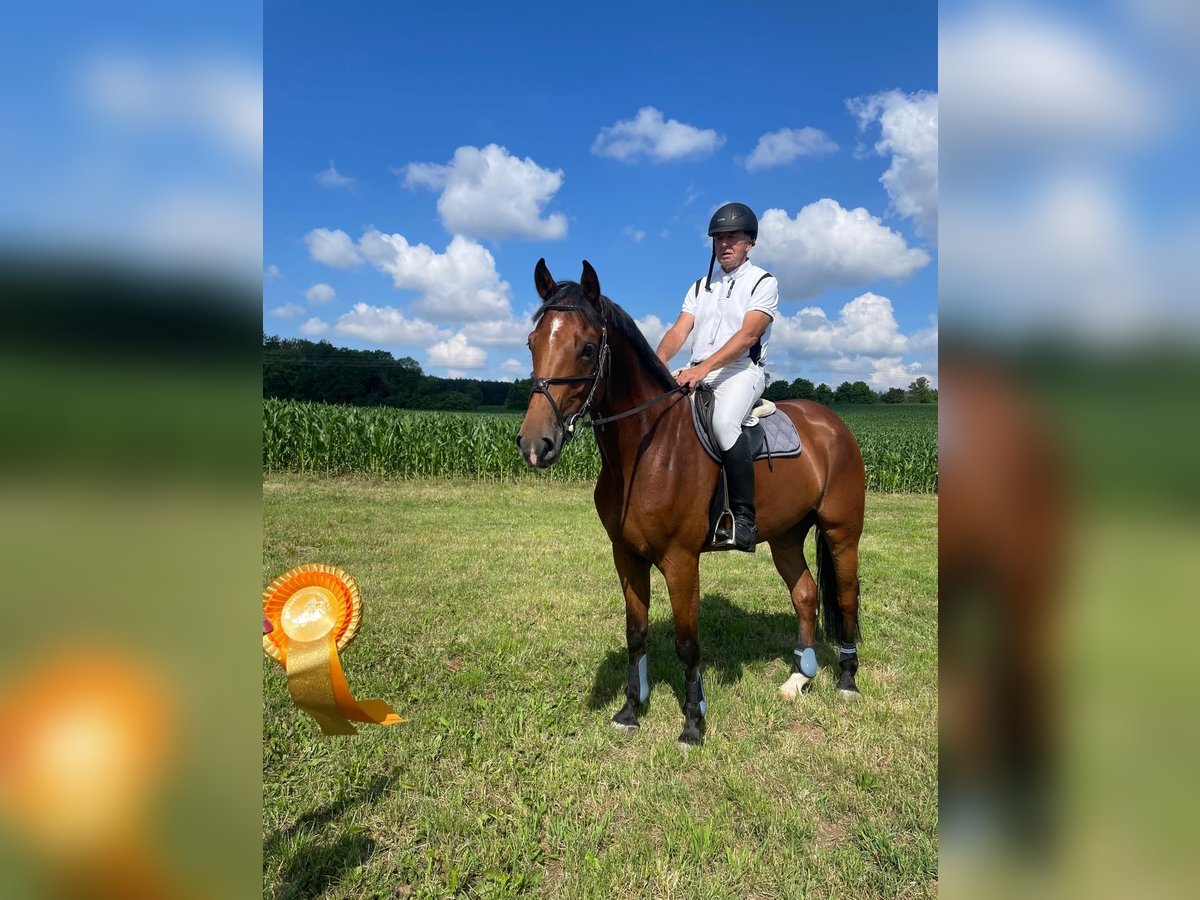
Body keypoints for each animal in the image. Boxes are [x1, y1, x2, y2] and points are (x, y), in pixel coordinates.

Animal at [516, 259, 865, 746]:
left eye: (586, 349)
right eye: (532, 343)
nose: (535, 445)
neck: (647, 448)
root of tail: (833, 424)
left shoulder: (681, 561)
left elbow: (687, 643)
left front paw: (693, 723)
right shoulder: (626, 556)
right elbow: (636, 632)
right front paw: (629, 711)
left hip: (841, 531)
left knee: (847, 596)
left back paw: (847, 680)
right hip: (785, 536)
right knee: (805, 594)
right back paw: (799, 679)